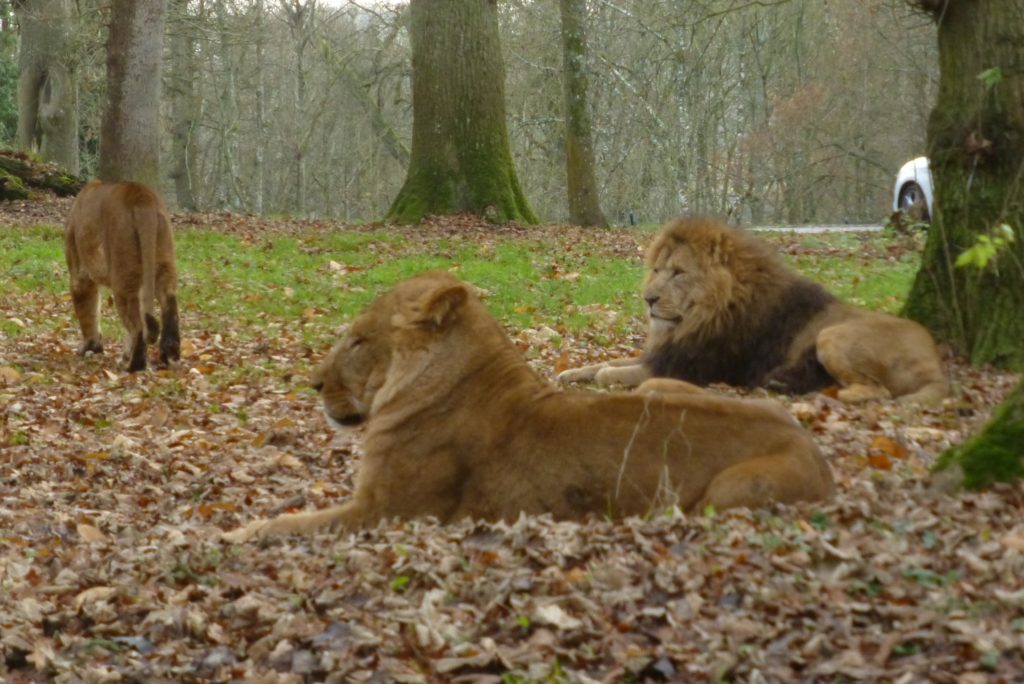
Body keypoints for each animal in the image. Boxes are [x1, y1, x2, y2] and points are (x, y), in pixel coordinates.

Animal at [64, 180, 180, 372]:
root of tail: (143, 198)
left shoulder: (80, 275)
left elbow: (88, 312)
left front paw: (90, 347)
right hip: (164, 261)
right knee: (169, 305)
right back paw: (168, 356)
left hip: (123, 278)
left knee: (138, 327)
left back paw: (133, 367)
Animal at [223, 271, 833, 541]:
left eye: (357, 340)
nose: (310, 382)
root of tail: (810, 443)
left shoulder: (384, 510)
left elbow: (288, 524)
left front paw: (234, 535)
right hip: (658, 388)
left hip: (724, 494)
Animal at [558, 216, 948, 404]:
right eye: (656, 270)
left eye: (679, 273)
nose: (649, 299)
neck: (698, 318)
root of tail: (934, 362)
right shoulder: (666, 352)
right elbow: (605, 362)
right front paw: (570, 372)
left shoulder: (685, 368)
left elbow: (612, 372)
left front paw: (601, 374)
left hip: (831, 335)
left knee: (878, 391)